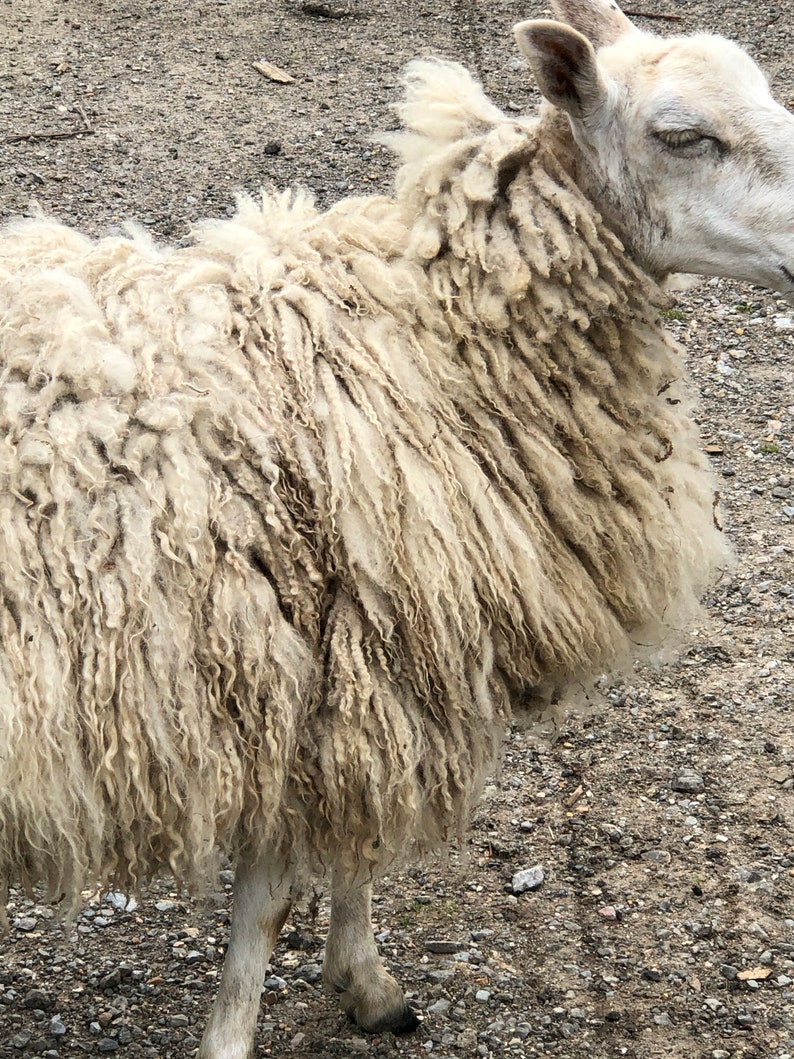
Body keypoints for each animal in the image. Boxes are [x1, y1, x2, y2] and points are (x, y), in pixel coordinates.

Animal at [1, 0, 793, 1055]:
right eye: (683, 135)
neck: (420, 330)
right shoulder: (311, 678)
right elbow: (271, 900)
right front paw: (279, 1012)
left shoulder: (359, 670)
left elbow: (352, 848)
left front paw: (362, 979)